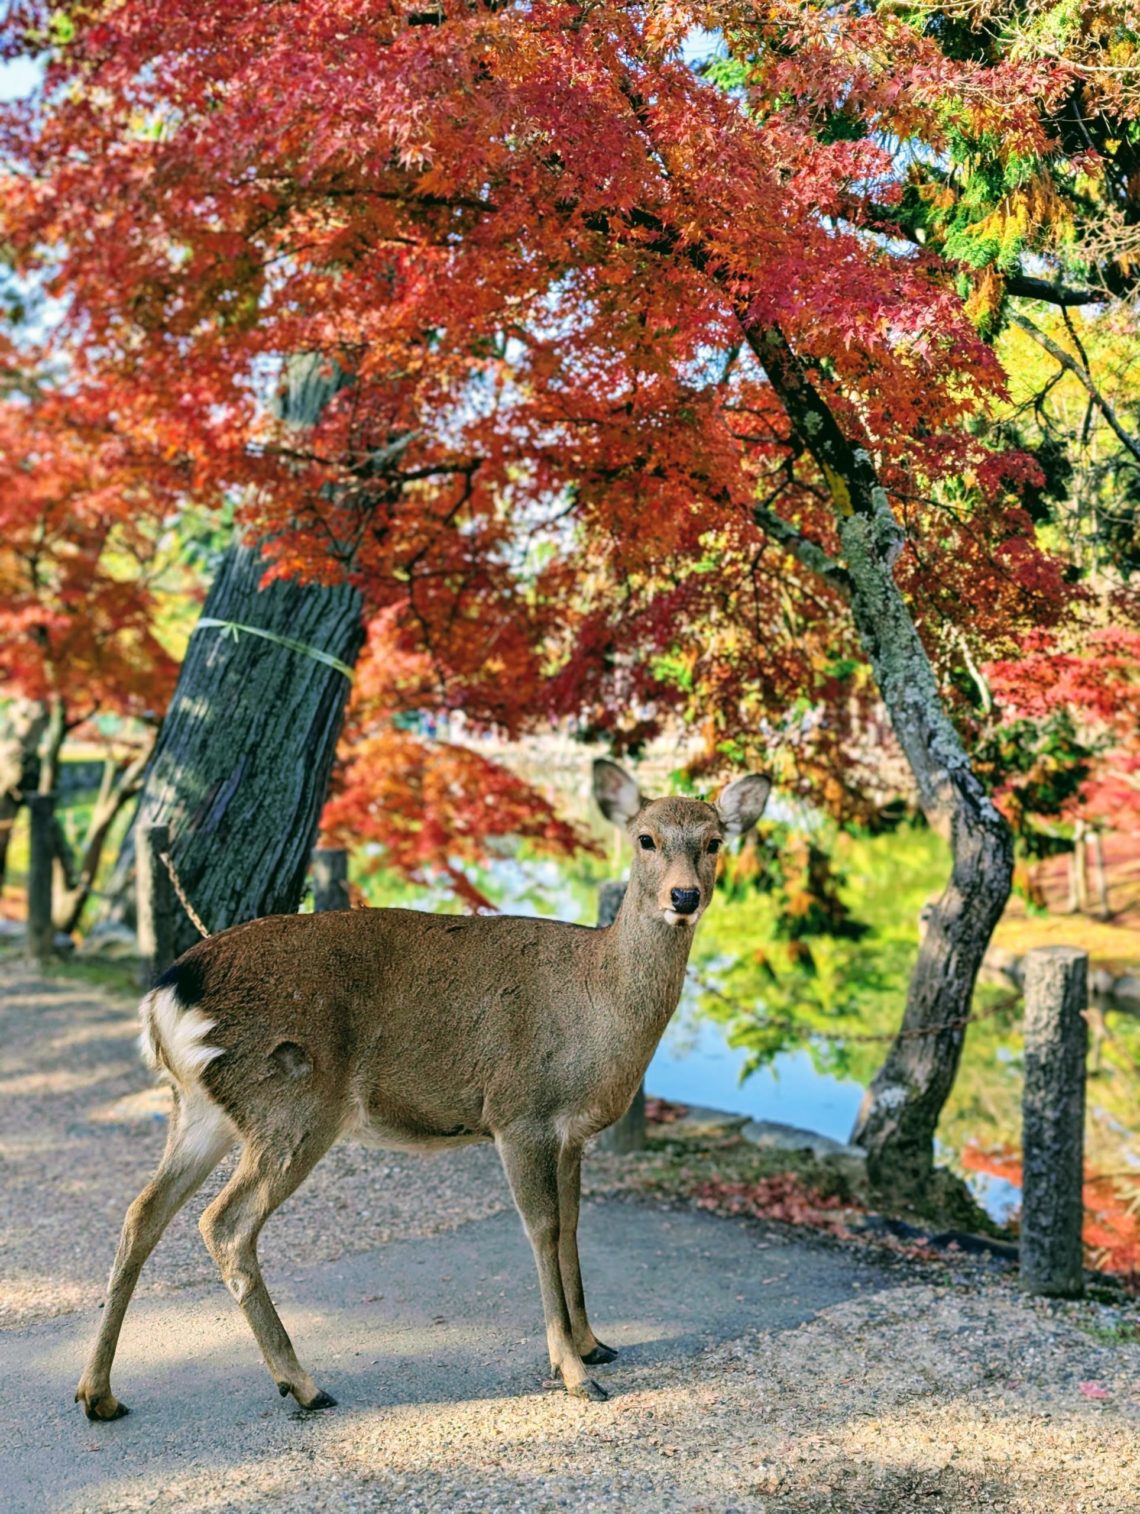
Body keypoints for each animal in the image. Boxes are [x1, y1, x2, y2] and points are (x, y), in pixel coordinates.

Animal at [75, 759, 770, 1421]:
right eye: (645, 838)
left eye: (714, 840)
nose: (684, 895)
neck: (600, 1015)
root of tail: (166, 995)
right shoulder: (519, 1111)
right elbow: (541, 1227)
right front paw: (575, 1373)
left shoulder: (571, 1134)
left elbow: (573, 1224)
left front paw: (595, 1343)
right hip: (291, 1104)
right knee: (223, 1223)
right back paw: (303, 1385)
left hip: (203, 1109)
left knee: (143, 1212)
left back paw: (99, 1393)